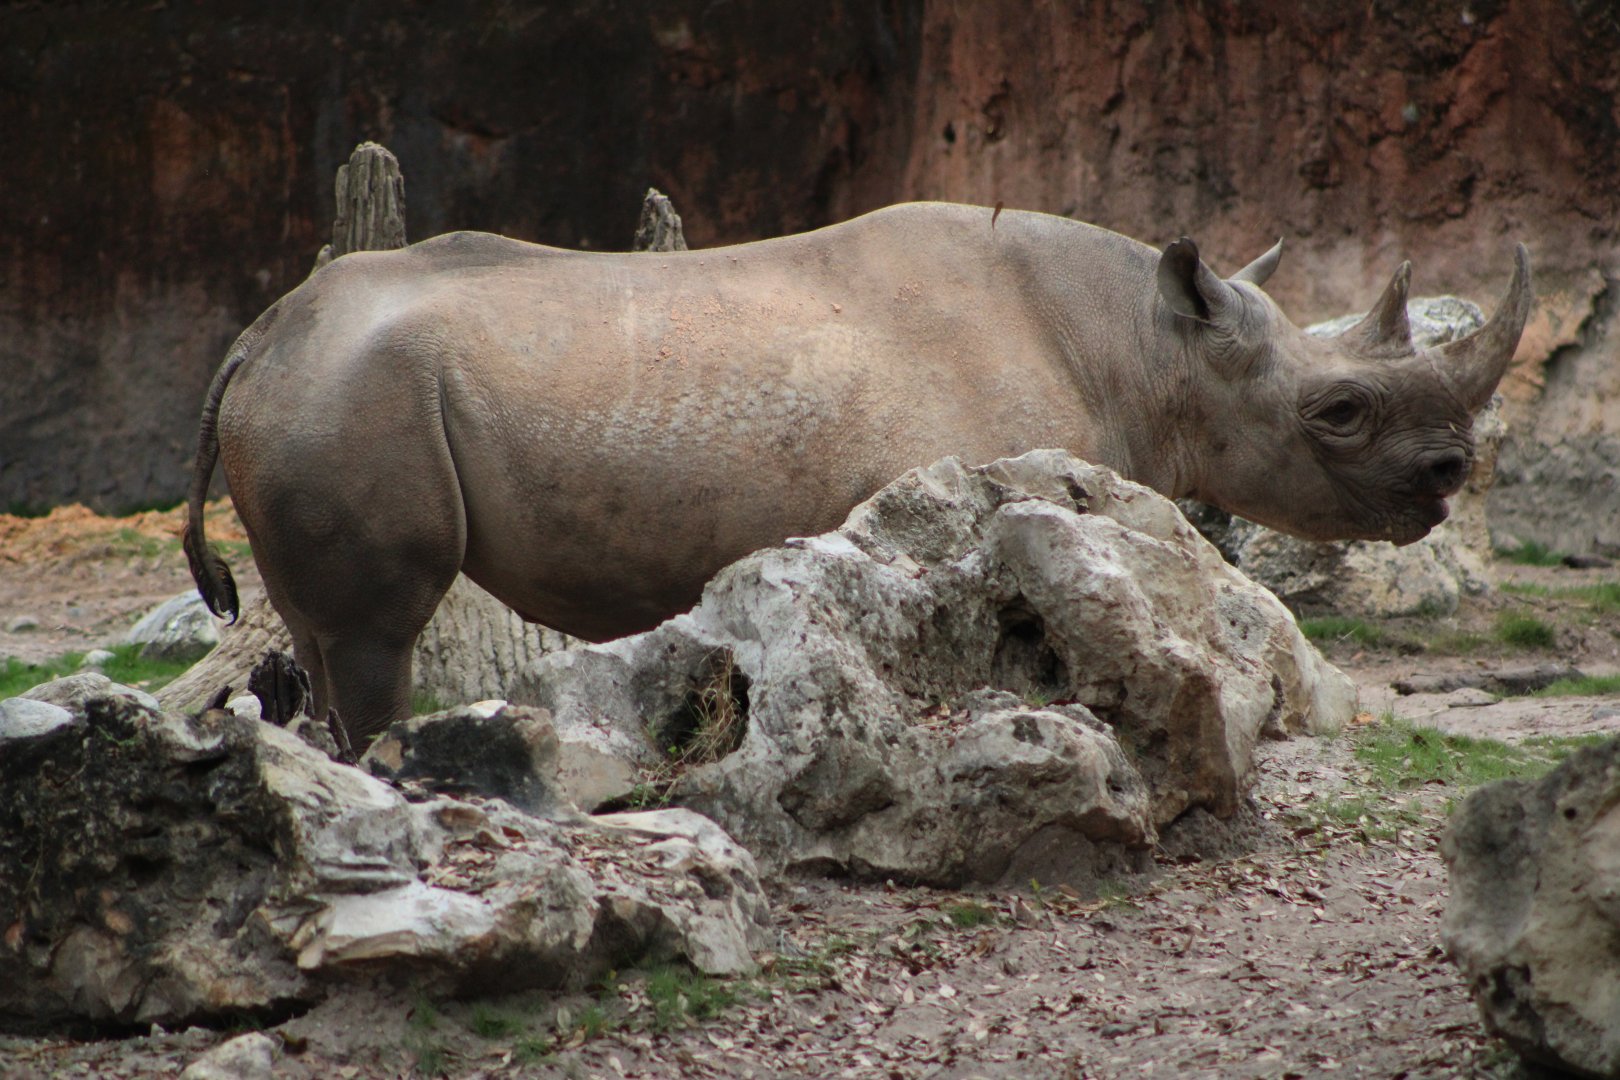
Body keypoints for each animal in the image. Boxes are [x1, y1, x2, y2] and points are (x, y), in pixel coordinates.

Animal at [183, 202, 1531, 746]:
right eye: (1340, 412)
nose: (1449, 477)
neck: (1153, 349)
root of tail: (256, 336)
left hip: (323, 395)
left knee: (319, 635)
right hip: (349, 401)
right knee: (377, 635)